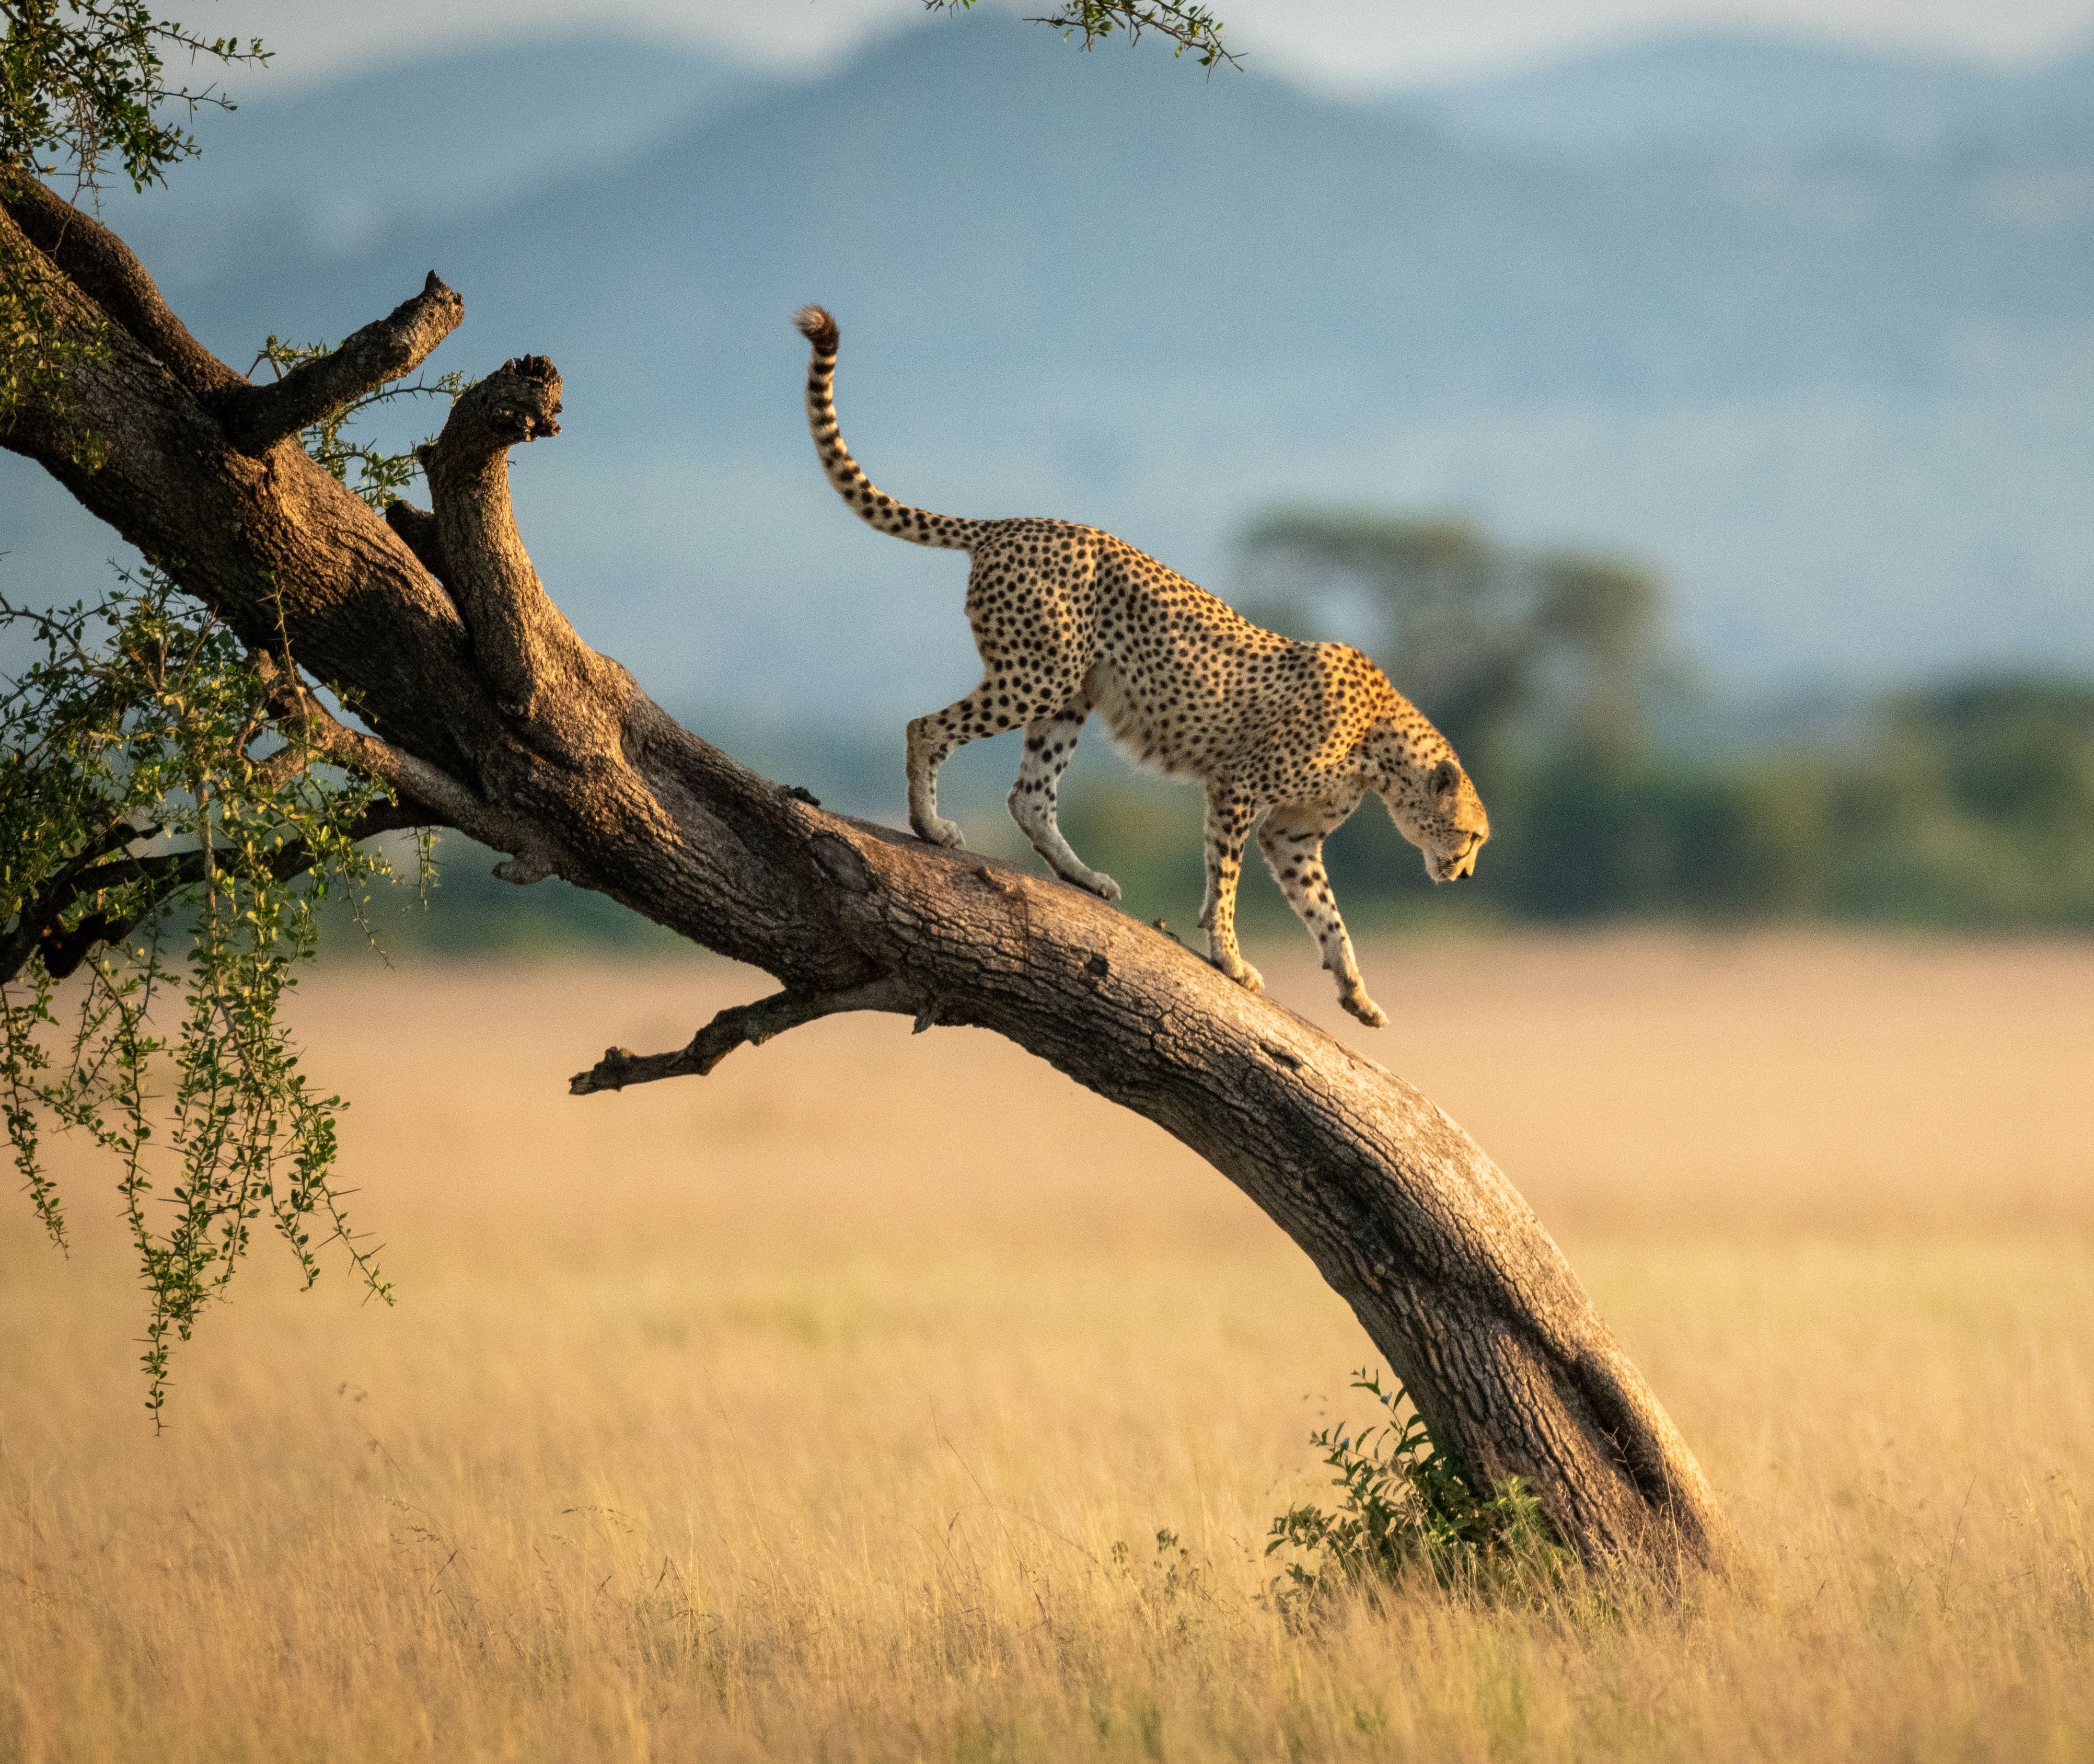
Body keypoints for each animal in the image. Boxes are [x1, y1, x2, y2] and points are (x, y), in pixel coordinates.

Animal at [792, 305, 1490, 1027]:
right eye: (1469, 836)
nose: (1464, 874)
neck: (1381, 747)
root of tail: (1014, 523)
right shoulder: (1238, 784)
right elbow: (1226, 879)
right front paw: (1228, 957)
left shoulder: (1292, 834)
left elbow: (1325, 912)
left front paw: (1354, 991)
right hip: (1036, 676)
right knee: (926, 728)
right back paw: (930, 827)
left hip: (1069, 693)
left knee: (1029, 796)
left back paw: (1081, 877)